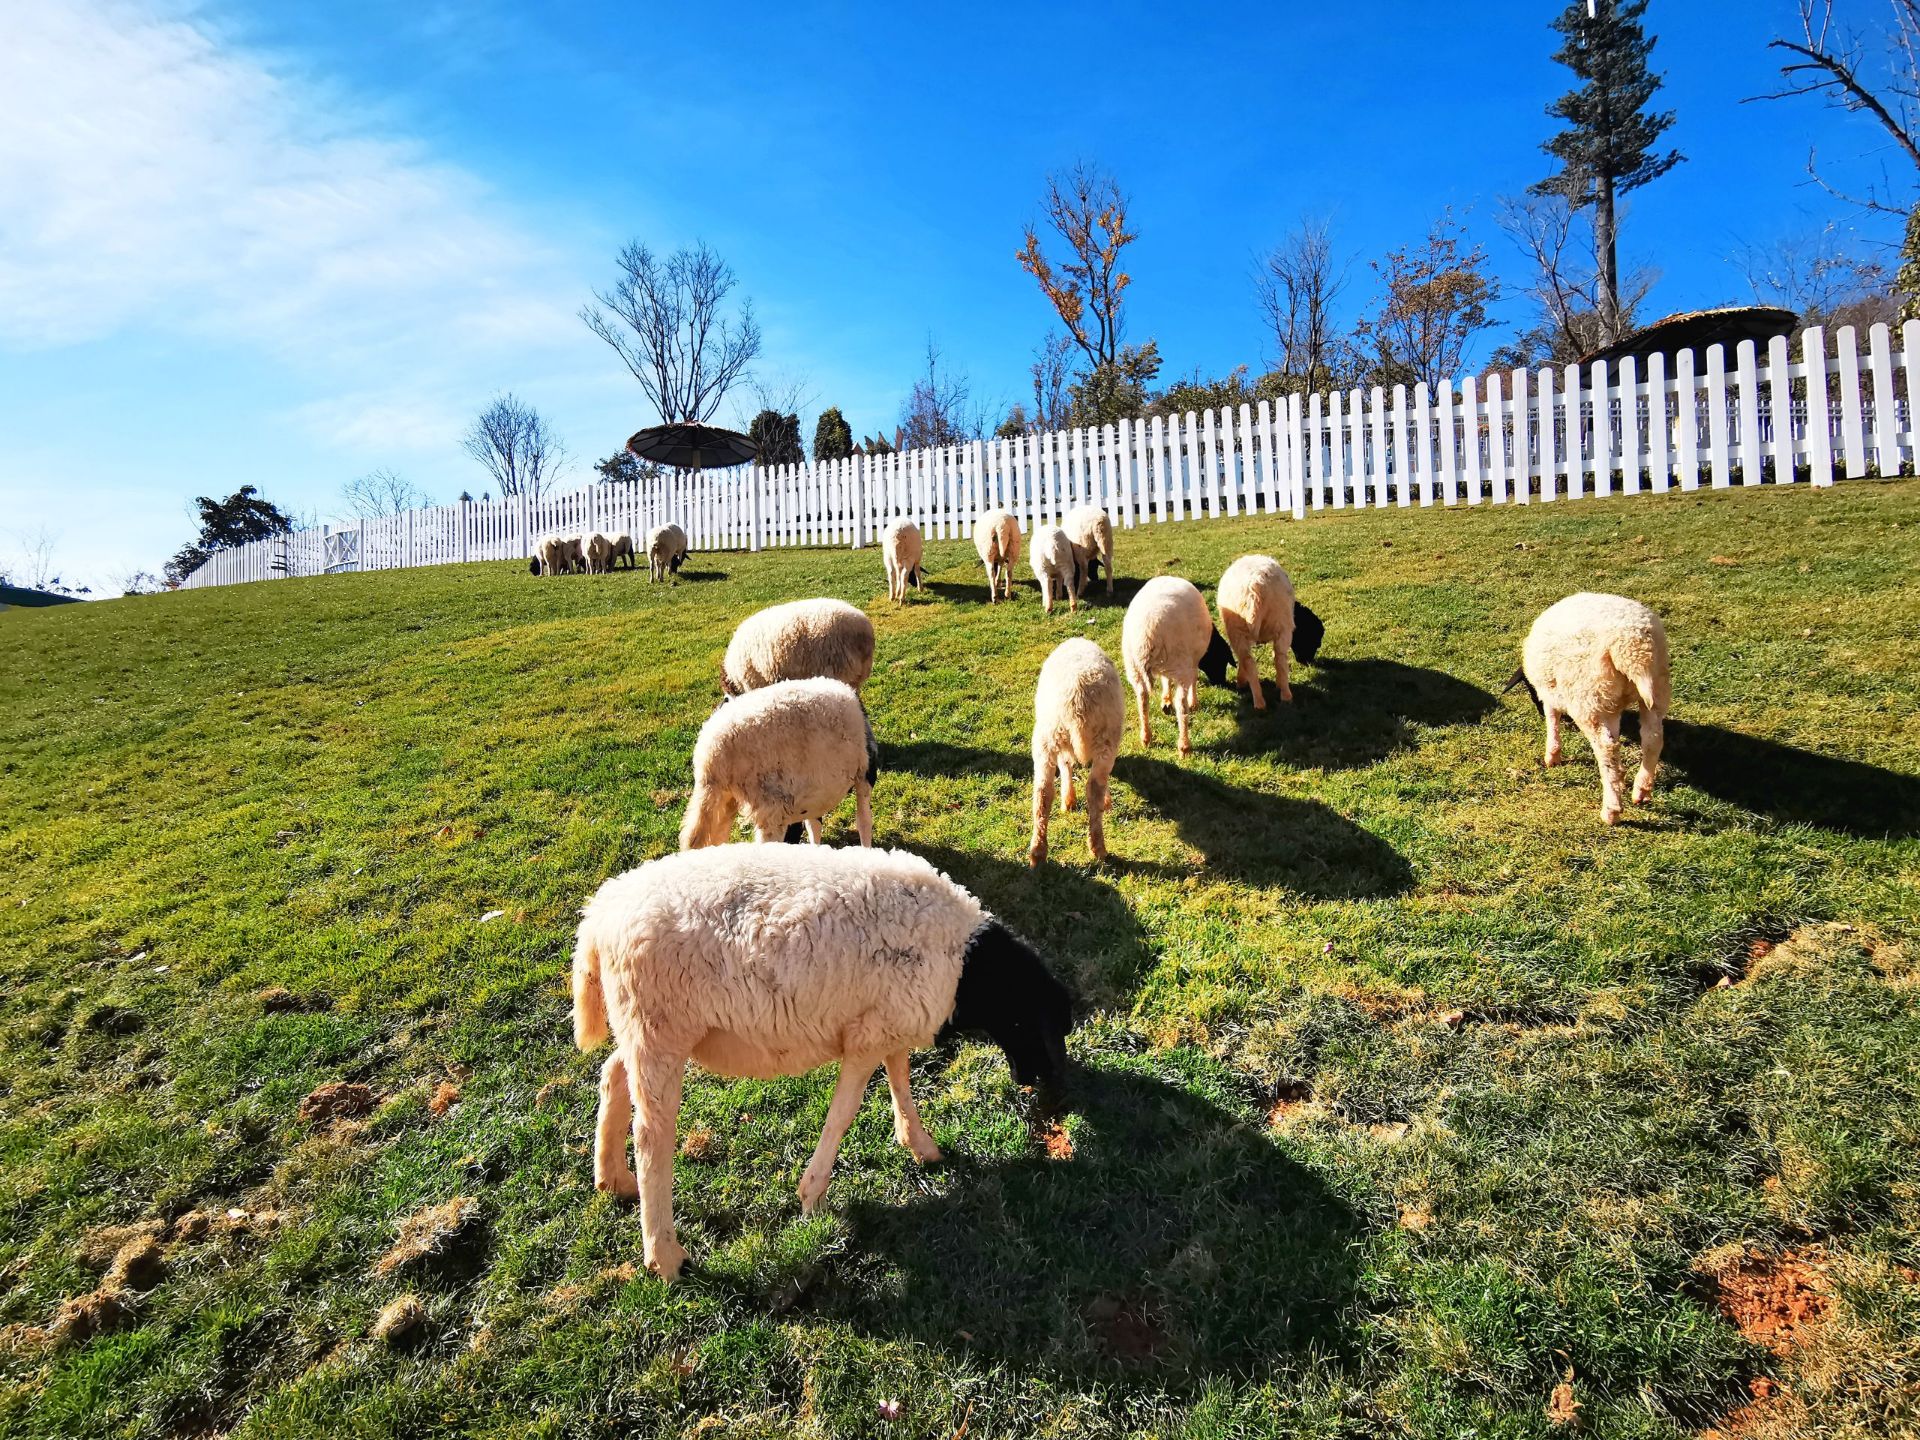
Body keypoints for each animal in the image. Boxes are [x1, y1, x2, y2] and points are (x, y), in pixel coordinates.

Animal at [683, 683, 879, 852]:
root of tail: (711, 755)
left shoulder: (815, 793)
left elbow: (814, 826)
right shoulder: (864, 775)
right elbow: (864, 822)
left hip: (722, 800)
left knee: (702, 838)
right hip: (770, 805)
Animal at [1029, 637, 1128, 864]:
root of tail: (1078, 697)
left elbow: (1066, 764)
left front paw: (1068, 801)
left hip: (1048, 738)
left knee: (1043, 791)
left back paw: (1038, 853)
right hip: (1105, 740)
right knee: (1094, 788)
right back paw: (1098, 847)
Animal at [1121, 576, 1236, 756]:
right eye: (1222, 660)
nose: (1221, 683)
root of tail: (1148, 633)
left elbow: (1166, 680)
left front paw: (1165, 700)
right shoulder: (1191, 662)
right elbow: (1194, 680)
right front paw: (1193, 703)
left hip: (1134, 667)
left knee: (1142, 699)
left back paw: (1146, 738)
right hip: (1180, 664)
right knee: (1181, 704)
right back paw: (1184, 745)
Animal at [1512, 595, 1666, 821]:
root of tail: (1633, 648)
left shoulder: (1550, 691)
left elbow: (1552, 718)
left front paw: (1552, 756)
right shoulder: (1611, 707)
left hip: (1588, 698)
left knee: (1606, 748)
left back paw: (1611, 810)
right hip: (1656, 689)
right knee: (1652, 739)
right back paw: (1641, 790)